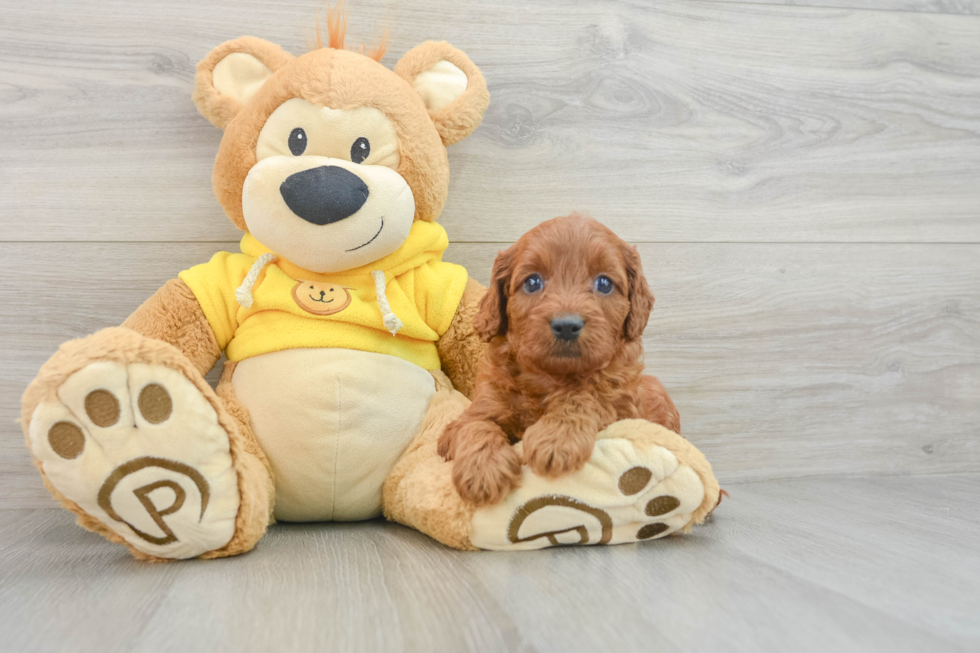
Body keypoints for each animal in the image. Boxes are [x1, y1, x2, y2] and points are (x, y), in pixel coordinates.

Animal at [440, 214, 676, 504]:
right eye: (533, 282)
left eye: (604, 283)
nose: (566, 326)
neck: (550, 377)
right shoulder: (477, 409)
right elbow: (473, 426)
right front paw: (483, 470)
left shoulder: (621, 407)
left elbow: (586, 396)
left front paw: (555, 439)